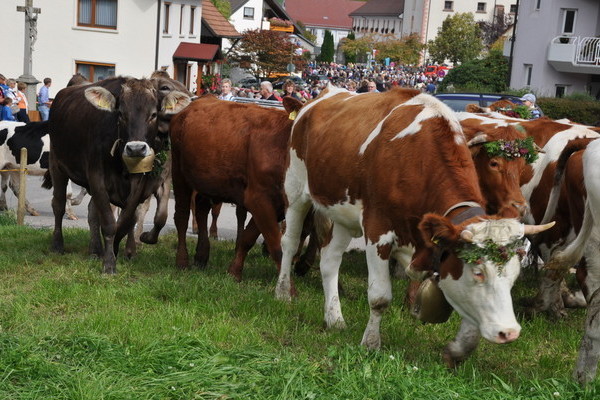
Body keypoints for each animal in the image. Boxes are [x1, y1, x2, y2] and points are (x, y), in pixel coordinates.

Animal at [274, 86, 552, 368]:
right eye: (478, 272)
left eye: (514, 276)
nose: (509, 332)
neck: (415, 158)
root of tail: (324, 94)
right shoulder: (377, 230)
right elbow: (379, 297)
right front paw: (371, 343)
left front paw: (459, 349)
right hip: (295, 190)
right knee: (290, 241)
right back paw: (284, 292)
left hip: (343, 212)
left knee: (330, 259)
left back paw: (334, 318)